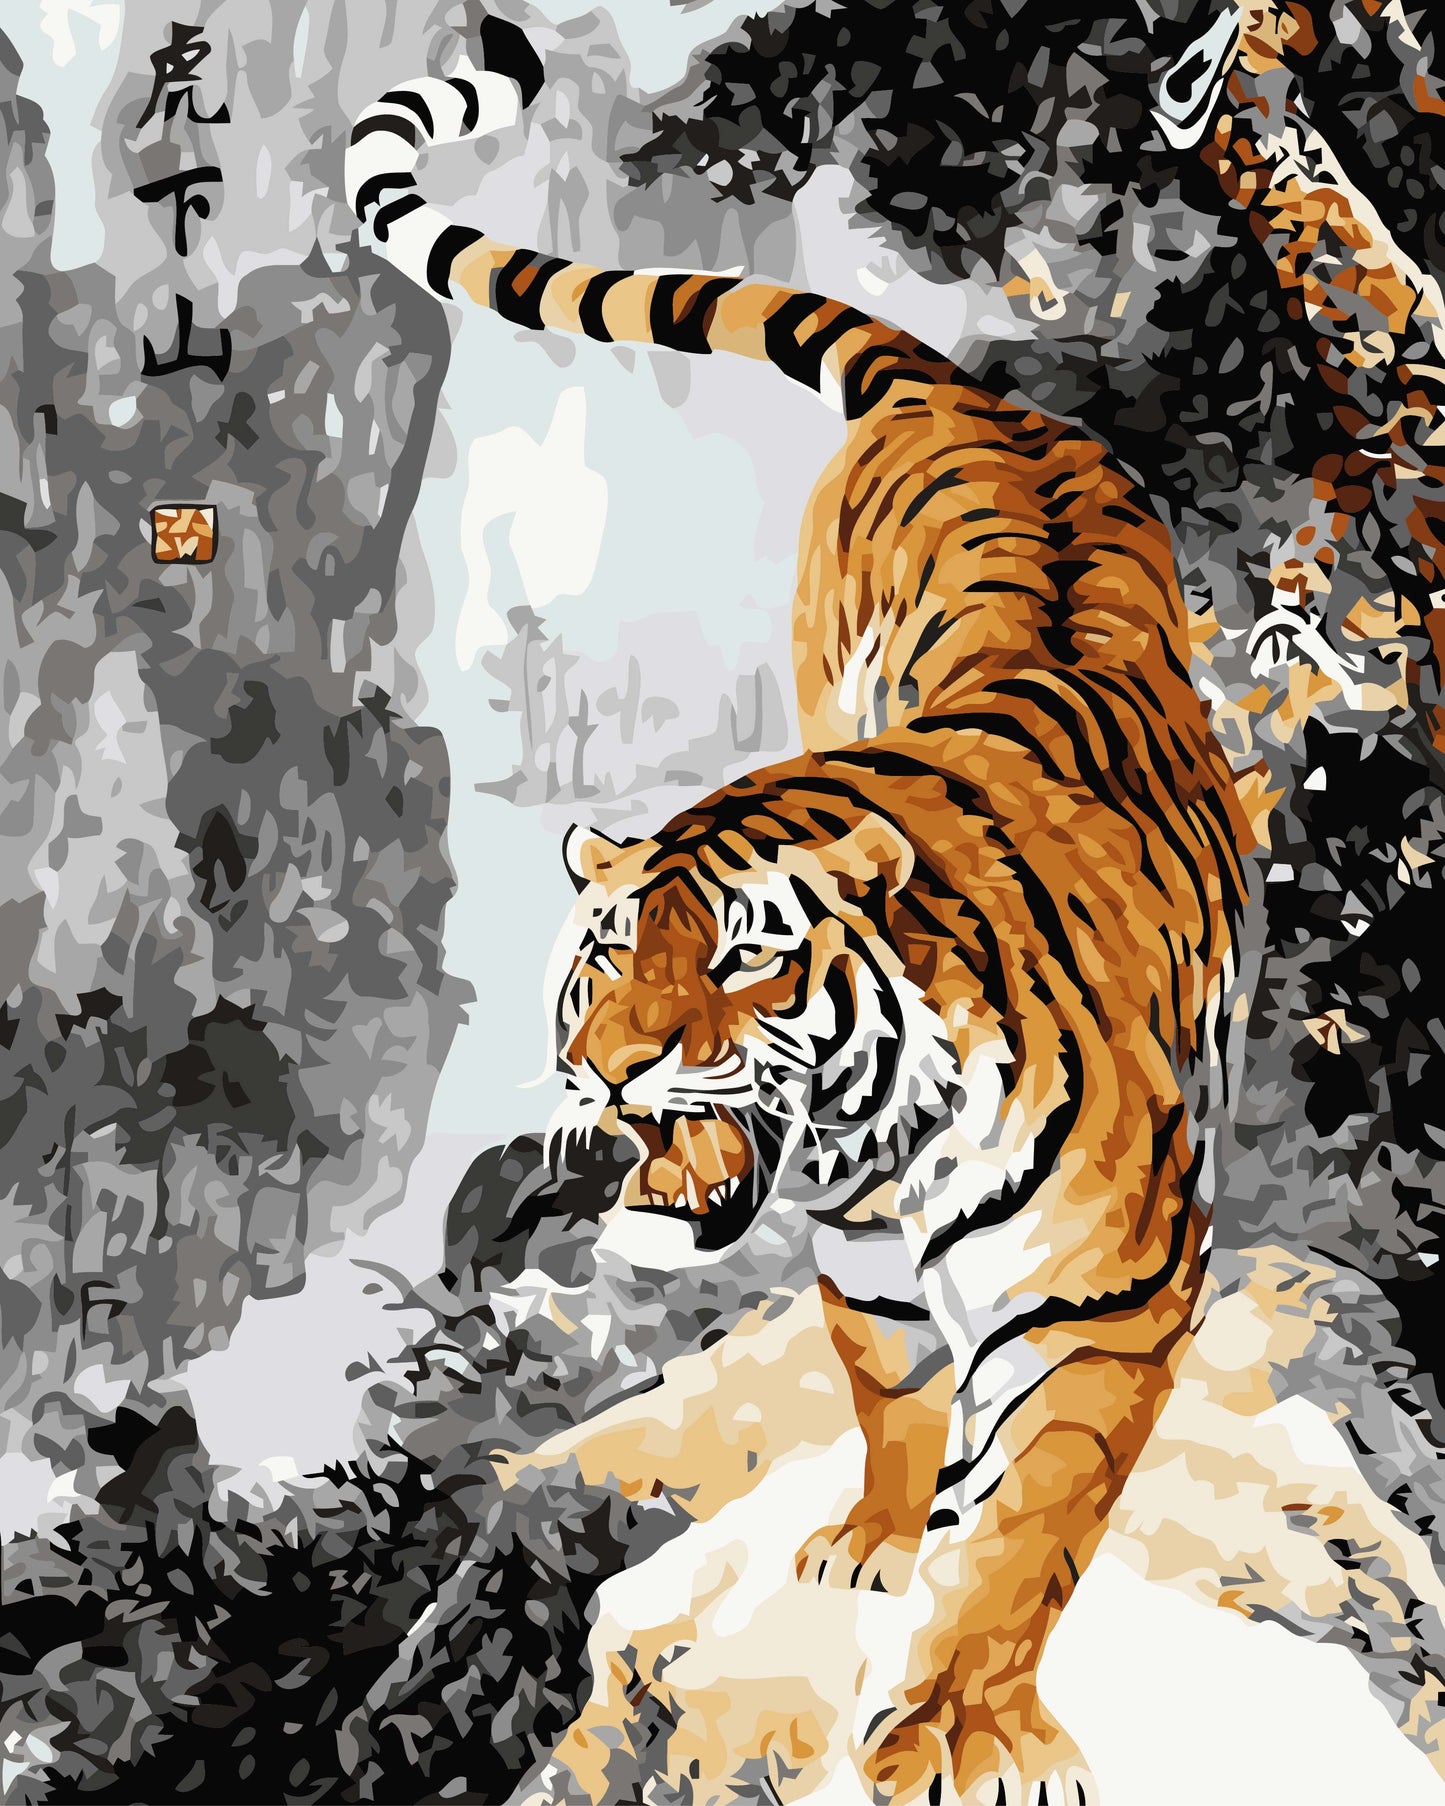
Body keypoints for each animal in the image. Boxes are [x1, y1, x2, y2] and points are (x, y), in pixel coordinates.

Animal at [347, 21, 1249, 1805]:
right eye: (606, 963)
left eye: (748, 958)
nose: (616, 1072)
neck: (877, 1143)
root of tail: (964, 387)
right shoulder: (868, 1266)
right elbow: (893, 1394)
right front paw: (879, 1542)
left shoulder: (1101, 1294)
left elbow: (1027, 1512)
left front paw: (965, 1721)